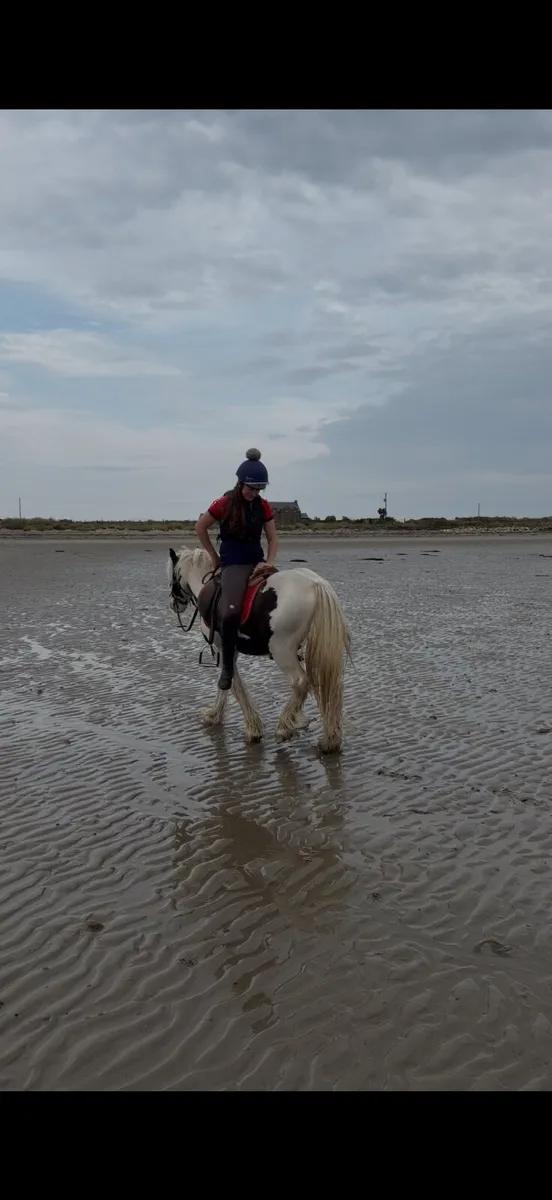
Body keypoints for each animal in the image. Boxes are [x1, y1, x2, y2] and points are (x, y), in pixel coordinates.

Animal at [167, 546, 351, 753]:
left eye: (172, 577)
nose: (174, 605)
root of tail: (315, 584)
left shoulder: (224, 649)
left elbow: (231, 684)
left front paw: (251, 728)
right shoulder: (231, 652)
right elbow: (226, 685)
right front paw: (214, 715)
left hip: (282, 651)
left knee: (300, 682)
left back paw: (283, 728)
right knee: (330, 687)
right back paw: (329, 740)